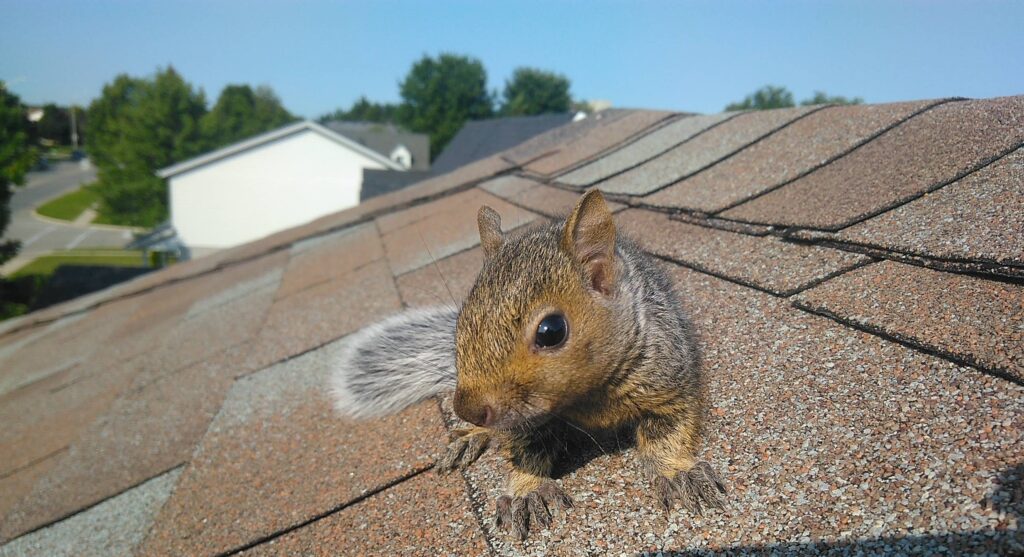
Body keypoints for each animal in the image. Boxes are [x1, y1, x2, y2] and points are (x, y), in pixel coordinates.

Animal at [331, 189, 724, 536]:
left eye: (552, 331)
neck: (587, 395)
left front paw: (676, 473)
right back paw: (472, 436)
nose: (467, 409)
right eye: (461, 323)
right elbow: (524, 450)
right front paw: (527, 491)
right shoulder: (524, 422)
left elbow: (667, 431)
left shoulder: (668, 379)